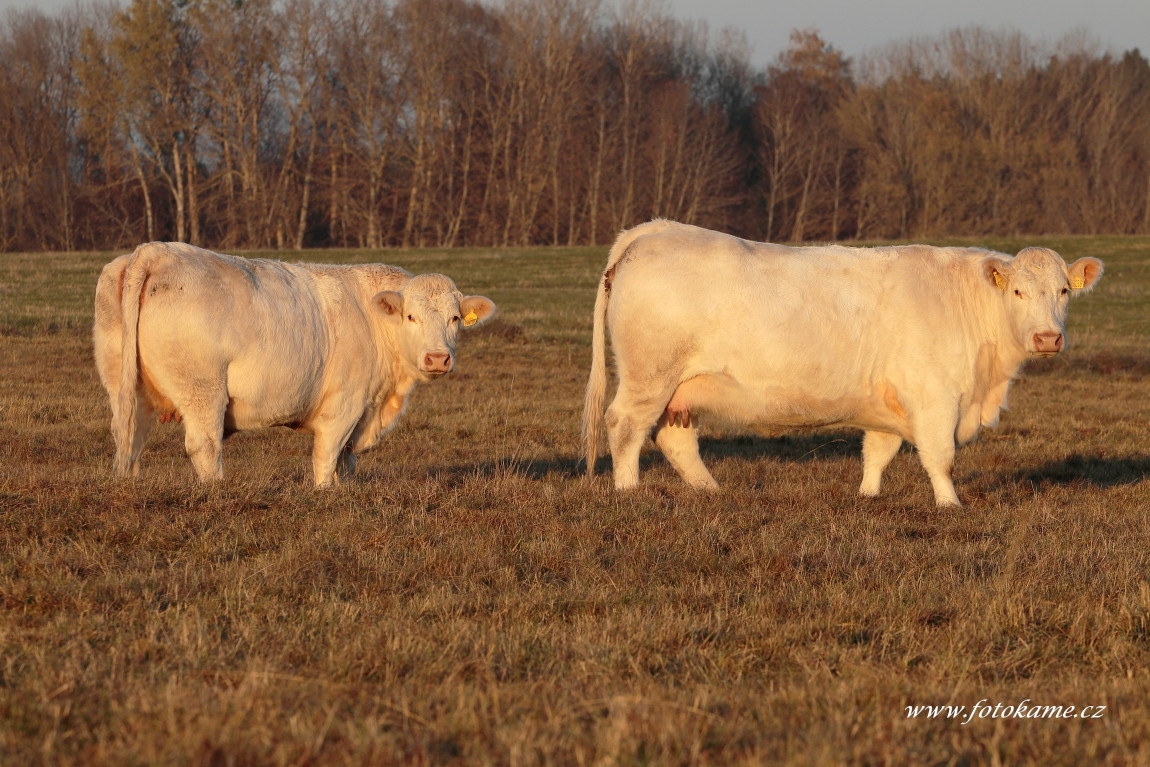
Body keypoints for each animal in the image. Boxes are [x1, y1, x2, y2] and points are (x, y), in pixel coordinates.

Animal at [95, 244, 494, 485]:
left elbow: (346, 459)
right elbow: (327, 456)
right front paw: (325, 493)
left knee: (129, 436)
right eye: (411, 316)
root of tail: (158, 250)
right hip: (202, 390)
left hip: (125, 386)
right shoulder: (345, 404)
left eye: (455, 318)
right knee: (204, 445)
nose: (437, 358)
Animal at [584, 221, 1104, 505]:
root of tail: (658, 230)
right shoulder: (934, 398)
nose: (1047, 337)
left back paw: (711, 491)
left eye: (1064, 291)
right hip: (649, 376)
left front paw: (868, 495)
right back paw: (629, 491)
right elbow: (940, 458)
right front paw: (950, 505)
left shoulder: (888, 403)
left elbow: (878, 452)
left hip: (680, 391)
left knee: (675, 440)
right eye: (1017, 291)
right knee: (625, 425)